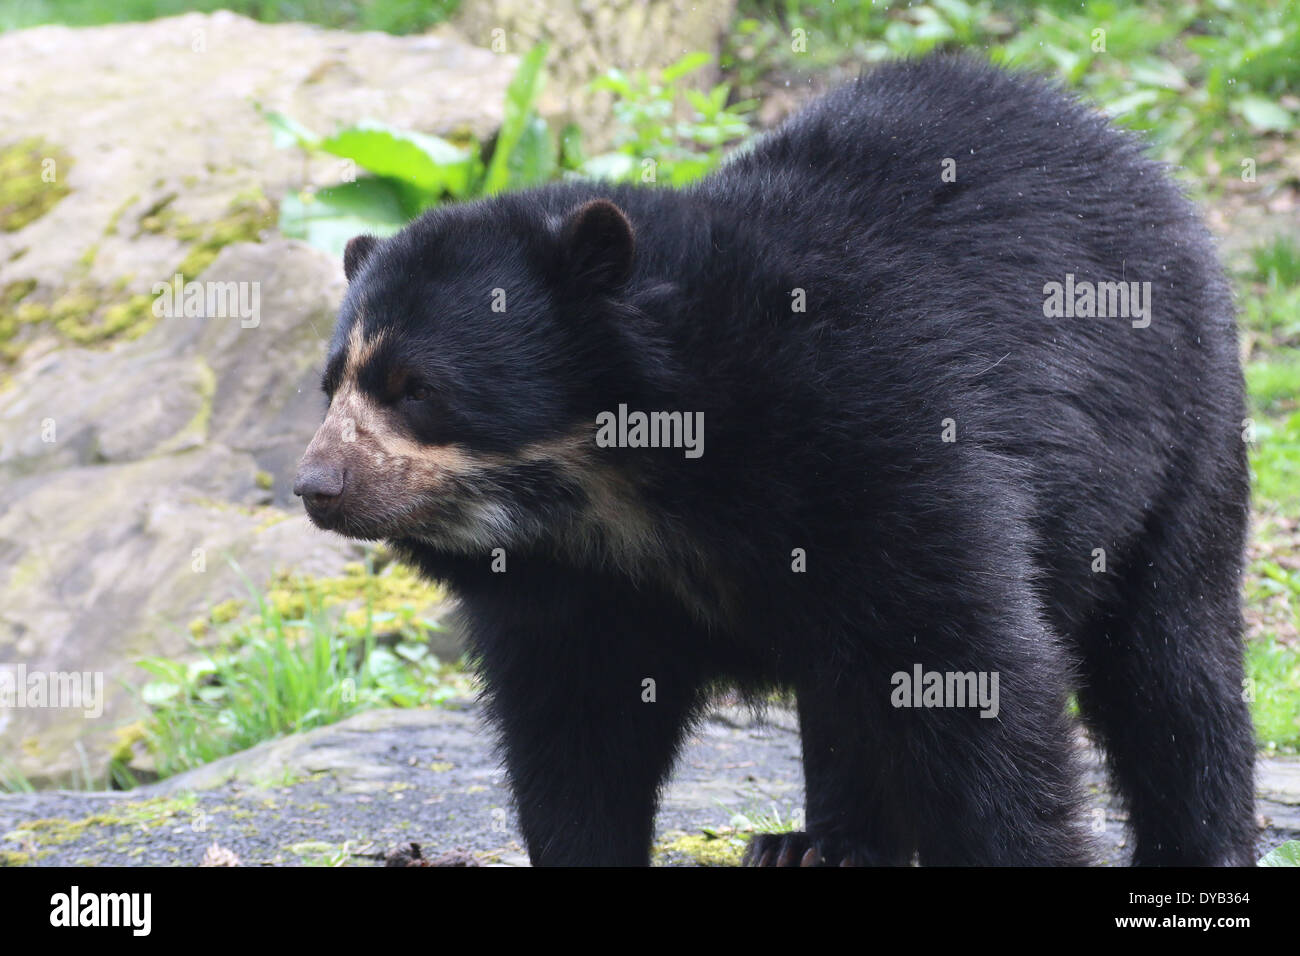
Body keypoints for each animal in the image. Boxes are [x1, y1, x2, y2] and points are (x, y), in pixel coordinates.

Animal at [294, 54, 1257, 866]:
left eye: (415, 387)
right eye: (331, 384)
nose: (317, 486)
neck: (617, 481)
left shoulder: (880, 441)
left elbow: (972, 674)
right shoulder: (572, 590)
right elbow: (575, 735)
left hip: (1180, 431)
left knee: (1170, 657)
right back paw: (816, 843)